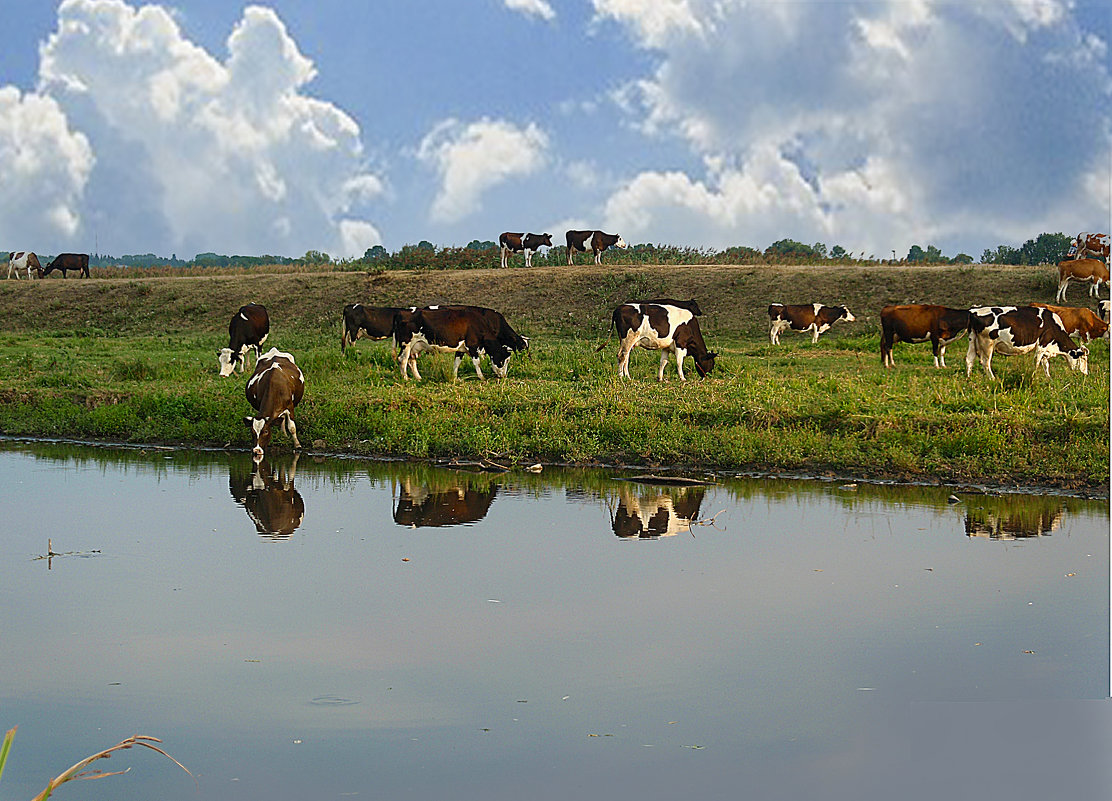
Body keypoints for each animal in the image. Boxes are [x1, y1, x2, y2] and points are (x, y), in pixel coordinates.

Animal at [391, 307, 529, 382]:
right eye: (504, 360)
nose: (503, 376)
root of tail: (401, 312)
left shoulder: (461, 349)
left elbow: (456, 362)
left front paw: (455, 377)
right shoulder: (472, 345)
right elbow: (477, 362)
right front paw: (481, 377)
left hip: (415, 346)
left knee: (411, 361)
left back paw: (418, 377)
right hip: (406, 343)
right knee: (402, 359)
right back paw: (406, 378)